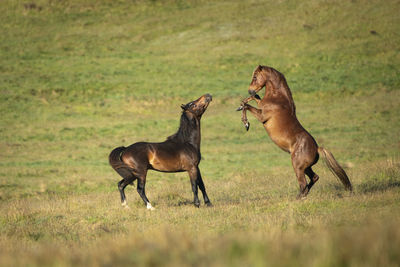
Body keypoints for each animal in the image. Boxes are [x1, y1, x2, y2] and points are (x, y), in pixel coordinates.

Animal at [236, 65, 352, 199]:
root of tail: (317, 148)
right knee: (314, 178)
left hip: (298, 166)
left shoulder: (262, 116)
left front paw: (246, 123)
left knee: (303, 183)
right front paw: (242, 105)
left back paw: (298, 198)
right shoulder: (260, 104)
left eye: (255, 77)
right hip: (306, 168)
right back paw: (302, 196)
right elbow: (254, 99)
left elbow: (247, 106)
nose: (250, 90)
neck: (277, 99)